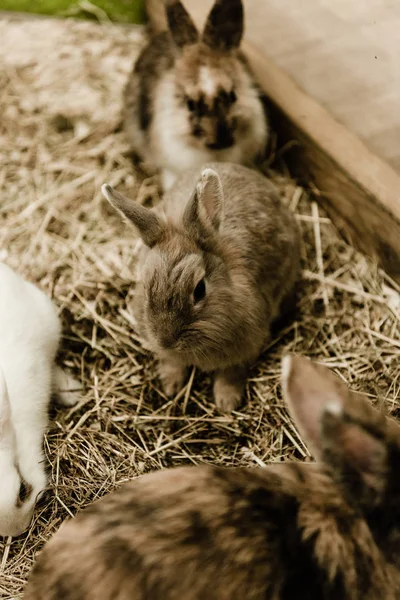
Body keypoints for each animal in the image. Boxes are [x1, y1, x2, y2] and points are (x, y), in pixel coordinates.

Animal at [100, 164, 300, 412]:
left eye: (199, 290)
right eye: (146, 286)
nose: (166, 341)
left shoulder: (245, 347)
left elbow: (231, 374)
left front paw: (226, 403)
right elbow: (172, 362)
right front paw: (170, 386)